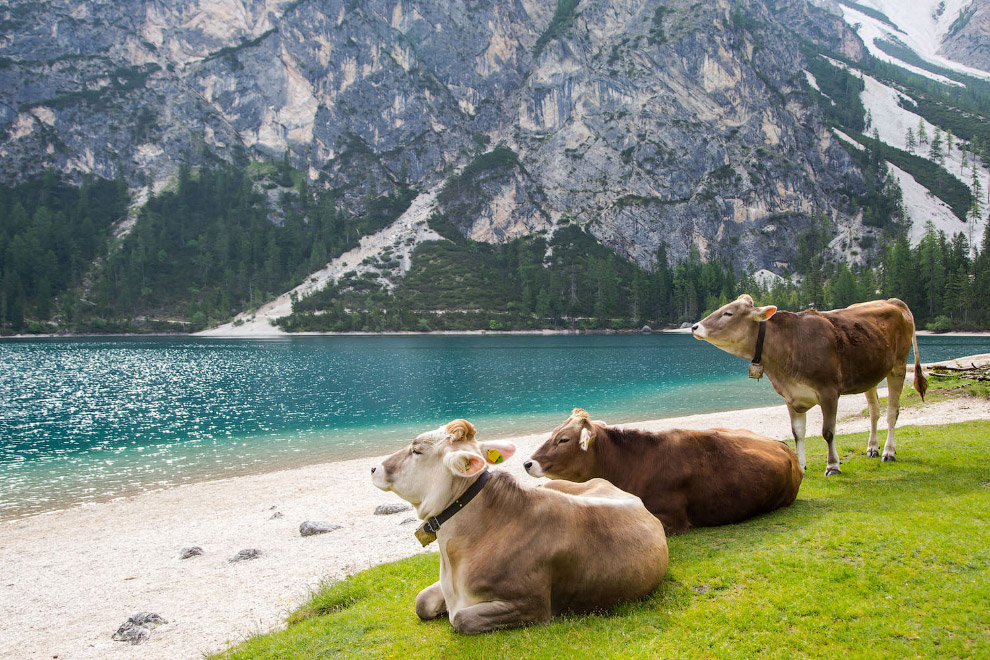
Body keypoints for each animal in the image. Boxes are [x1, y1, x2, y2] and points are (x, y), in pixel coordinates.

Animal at [691, 295, 928, 476]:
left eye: (728, 313)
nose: (695, 326)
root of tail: (891, 301)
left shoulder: (829, 392)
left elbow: (828, 432)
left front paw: (833, 466)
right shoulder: (791, 396)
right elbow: (798, 433)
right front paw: (801, 466)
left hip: (898, 366)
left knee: (892, 412)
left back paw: (889, 452)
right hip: (871, 373)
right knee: (874, 411)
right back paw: (873, 448)